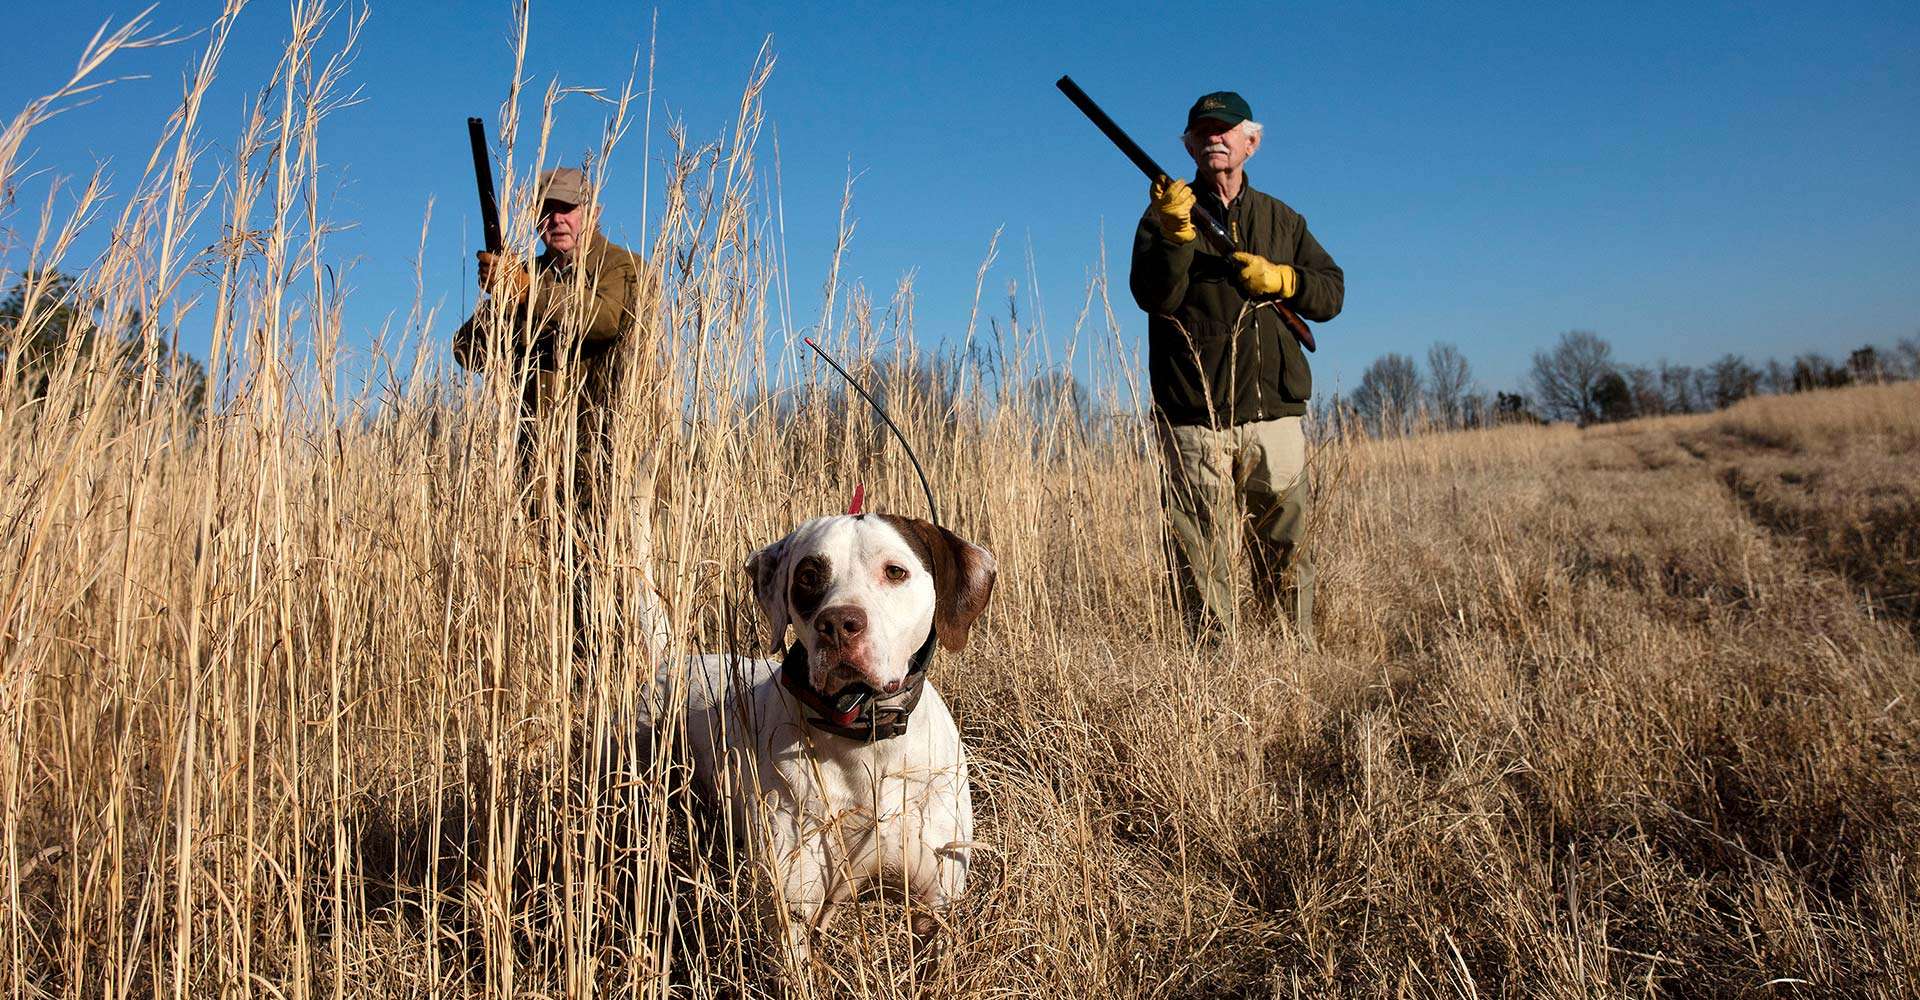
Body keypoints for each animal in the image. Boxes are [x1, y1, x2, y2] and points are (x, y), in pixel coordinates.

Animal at [683, 514, 998, 959]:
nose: (837, 624)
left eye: (895, 572)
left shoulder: (936, 904)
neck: (866, 741)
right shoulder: (792, 910)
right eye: (808, 576)